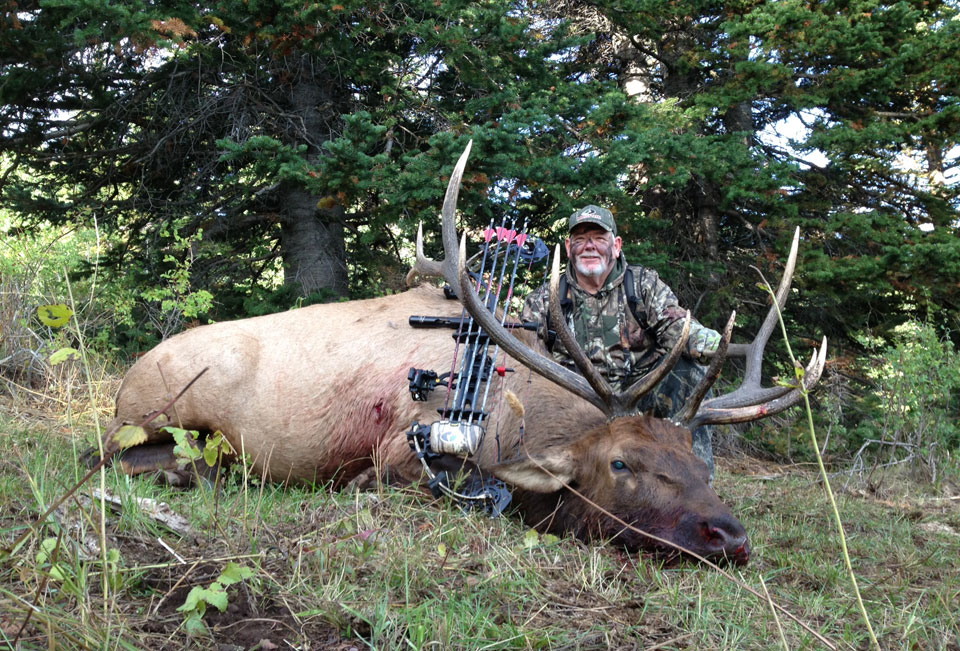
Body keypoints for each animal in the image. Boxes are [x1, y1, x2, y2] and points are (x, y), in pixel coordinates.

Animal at [103, 143, 824, 564]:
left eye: (700, 465)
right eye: (622, 461)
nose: (729, 535)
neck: (510, 419)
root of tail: (124, 379)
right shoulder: (400, 455)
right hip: (151, 409)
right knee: (123, 456)